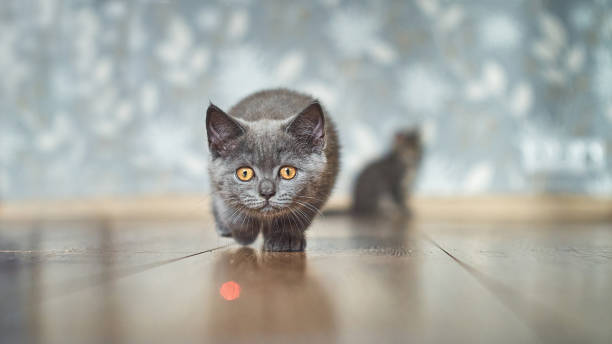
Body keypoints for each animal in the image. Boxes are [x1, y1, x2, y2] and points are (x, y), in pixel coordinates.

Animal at [206, 88, 340, 250]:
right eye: (244, 173)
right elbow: (230, 209)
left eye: (288, 172)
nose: (267, 192)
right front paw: (244, 233)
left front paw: (284, 238)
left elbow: (298, 214)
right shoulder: (217, 181)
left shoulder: (321, 186)